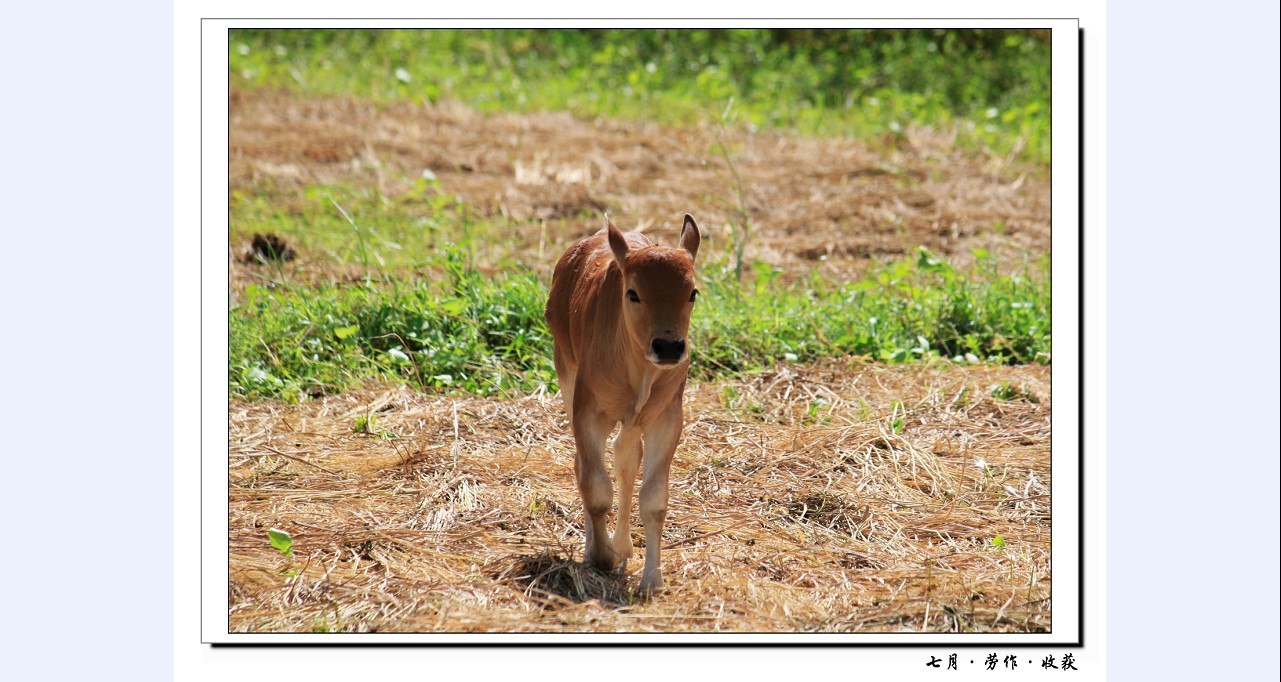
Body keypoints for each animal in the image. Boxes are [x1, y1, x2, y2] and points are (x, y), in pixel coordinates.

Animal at [544, 214, 701, 597]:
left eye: (692, 293)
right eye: (633, 293)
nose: (669, 346)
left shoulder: (666, 418)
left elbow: (654, 498)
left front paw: (651, 579)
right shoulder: (588, 411)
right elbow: (595, 485)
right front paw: (601, 555)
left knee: (626, 459)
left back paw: (625, 547)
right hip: (566, 373)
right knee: (584, 464)